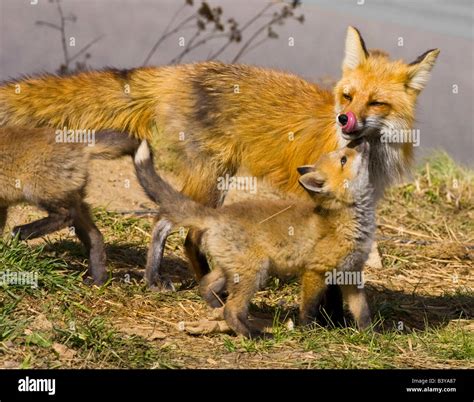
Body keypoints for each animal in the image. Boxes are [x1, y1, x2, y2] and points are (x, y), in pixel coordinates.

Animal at [0, 27, 440, 296]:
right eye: (348, 96)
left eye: (376, 102)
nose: (344, 120)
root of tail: (178, 72)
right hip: (211, 179)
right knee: (166, 221)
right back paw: (158, 279)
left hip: (217, 180)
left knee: (189, 234)